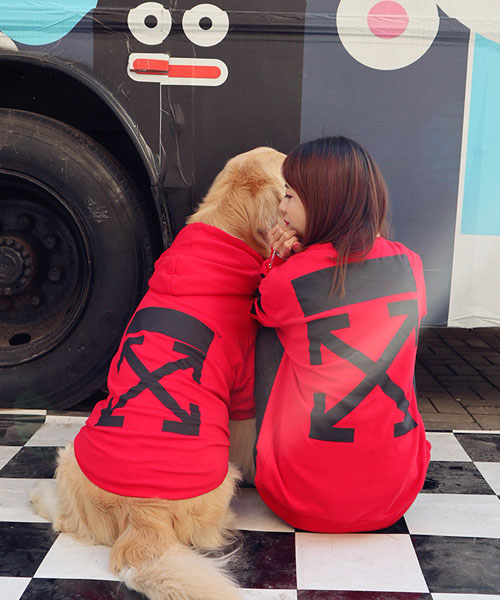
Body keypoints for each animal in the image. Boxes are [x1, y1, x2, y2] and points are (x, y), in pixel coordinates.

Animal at [31, 146, 286, 600]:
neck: (223, 225)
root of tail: (142, 511)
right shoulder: (241, 386)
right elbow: (248, 430)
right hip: (221, 481)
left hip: (73, 459)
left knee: (65, 516)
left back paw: (41, 494)